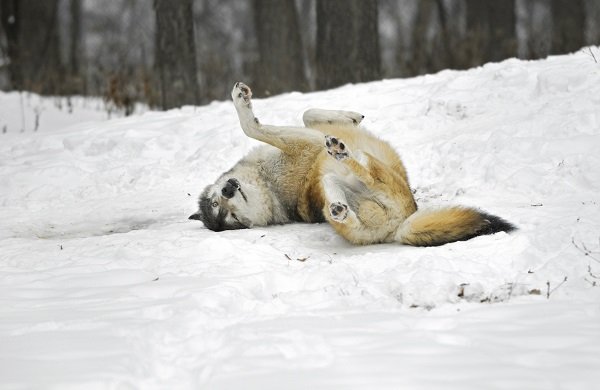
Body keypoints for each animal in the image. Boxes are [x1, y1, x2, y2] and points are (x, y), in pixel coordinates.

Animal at [189, 82, 516, 247]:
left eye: (218, 203)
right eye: (225, 214)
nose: (228, 190)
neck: (268, 184)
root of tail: (399, 226)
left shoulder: (308, 132)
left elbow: (308, 112)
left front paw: (351, 117)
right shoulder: (304, 140)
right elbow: (251, 127)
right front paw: (241, 101)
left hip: (333, 185)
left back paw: (340, 201)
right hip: (357, 177)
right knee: (364, 173)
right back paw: (341, 158)